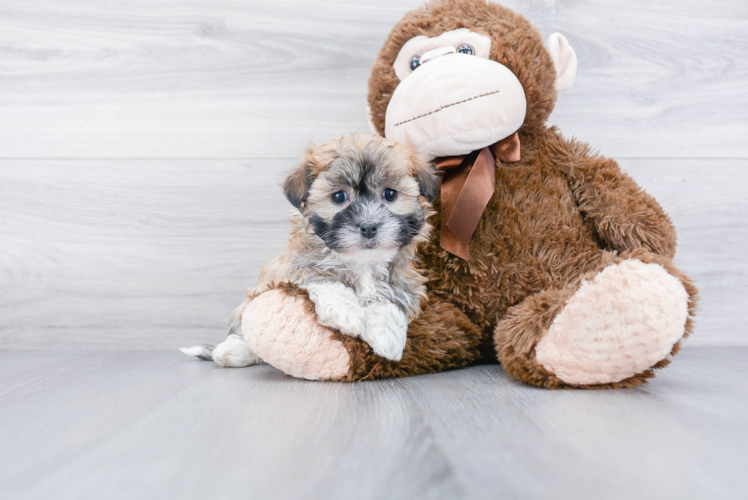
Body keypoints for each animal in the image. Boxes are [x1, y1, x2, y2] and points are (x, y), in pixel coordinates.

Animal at [181, 133, 438, 368]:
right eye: (339, 196)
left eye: (390, 194)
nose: (368, 226)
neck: (361, 262)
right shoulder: (295, 266)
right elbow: (325, 279)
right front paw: (347, 314)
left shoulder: (404, 278)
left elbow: (392, 299)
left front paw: (387, 336)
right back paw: (233, 351)